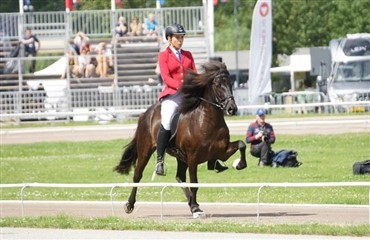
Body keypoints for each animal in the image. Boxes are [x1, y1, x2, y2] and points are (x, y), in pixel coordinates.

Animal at [115, 61, 249, 218]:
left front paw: (239, 164)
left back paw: (192, 203)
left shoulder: (222, 151)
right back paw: (129, 204)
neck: (206, 120)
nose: (232, 109)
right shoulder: (193, 158)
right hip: (145, 151)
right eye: (217, 85)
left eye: (230, 83)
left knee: (179, 177)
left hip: (181, 157)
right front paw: (196, 209)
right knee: (137, 176)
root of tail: (145, 114)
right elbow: (194, 183)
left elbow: (241, 144)